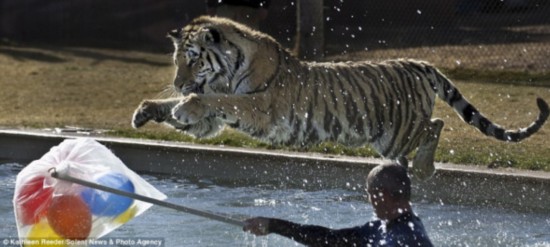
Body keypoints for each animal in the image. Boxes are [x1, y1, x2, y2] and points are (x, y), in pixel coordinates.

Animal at [132, 16, 548, 180]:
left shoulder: (259, 106)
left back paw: (423, 168)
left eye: (191, 59)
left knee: (437, 123)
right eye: (176, 59)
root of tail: (418, 62)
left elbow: (222, 102)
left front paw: (186, 106)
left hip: (400, 131)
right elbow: (198, 111)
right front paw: (147, 111)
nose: (180, 84)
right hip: (389, 137)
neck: (228, 68)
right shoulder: (215, 122)